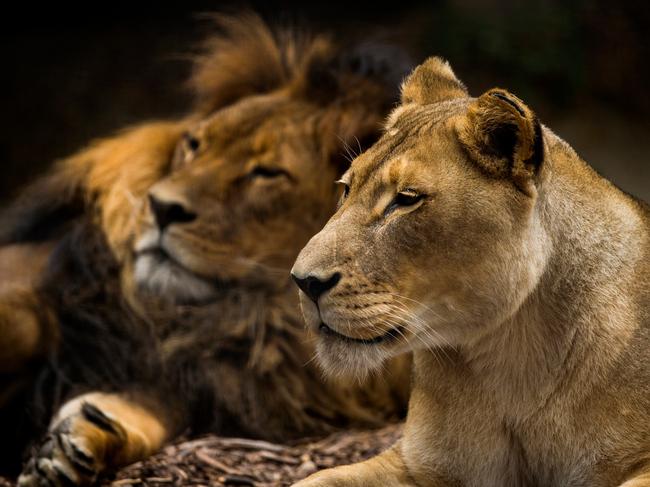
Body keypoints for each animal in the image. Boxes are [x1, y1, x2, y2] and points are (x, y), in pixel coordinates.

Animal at [0, 14, 410, 484]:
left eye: (266, 173)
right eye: (195, 144)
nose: (160, 207)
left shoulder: (204, 383)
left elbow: (145, 414)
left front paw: (76, 446)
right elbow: (18, 321)